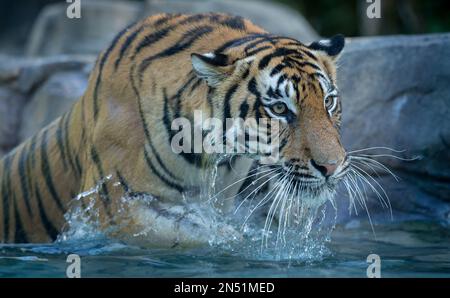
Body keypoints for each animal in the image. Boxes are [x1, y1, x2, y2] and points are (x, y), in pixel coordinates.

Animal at [0, 12, 348, 247]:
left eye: (329, 101)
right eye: (278, 109)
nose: (331, 167)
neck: (219, 156)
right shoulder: (112, 205)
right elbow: (191, 232)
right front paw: (231, 240)